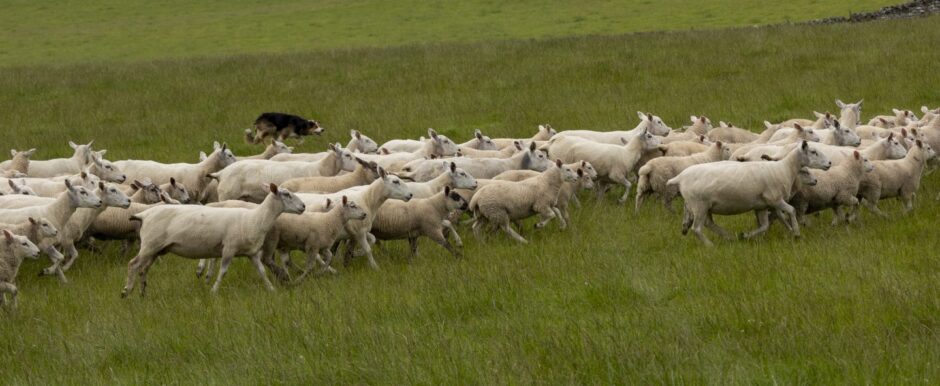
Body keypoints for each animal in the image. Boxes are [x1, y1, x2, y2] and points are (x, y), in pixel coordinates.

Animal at [121, 182, 304, 298]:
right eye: (286, 194)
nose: (303, 207)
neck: (254, 219)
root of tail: (144, 214)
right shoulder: (229, 249)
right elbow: (223, 271)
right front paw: (214, 291)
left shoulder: (251, 253)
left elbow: (262, 272)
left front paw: (272, 290)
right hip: (149, 246)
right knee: (132, 264)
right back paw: (126, 291)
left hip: (157, 249)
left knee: (144, 269)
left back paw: (142, 293)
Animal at [668, 142, 828, 247]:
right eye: (813, 152)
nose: (829, 163)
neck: (784, 169)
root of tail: (680, 177)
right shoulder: (775, 199)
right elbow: (791, 210)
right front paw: (796, 233)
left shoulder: (761, 205)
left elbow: (764, 225)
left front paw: (746, 236)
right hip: (699, 204)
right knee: (697, 229)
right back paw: (711, 246)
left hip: (705, 206)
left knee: (708, 223)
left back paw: (730, 237)